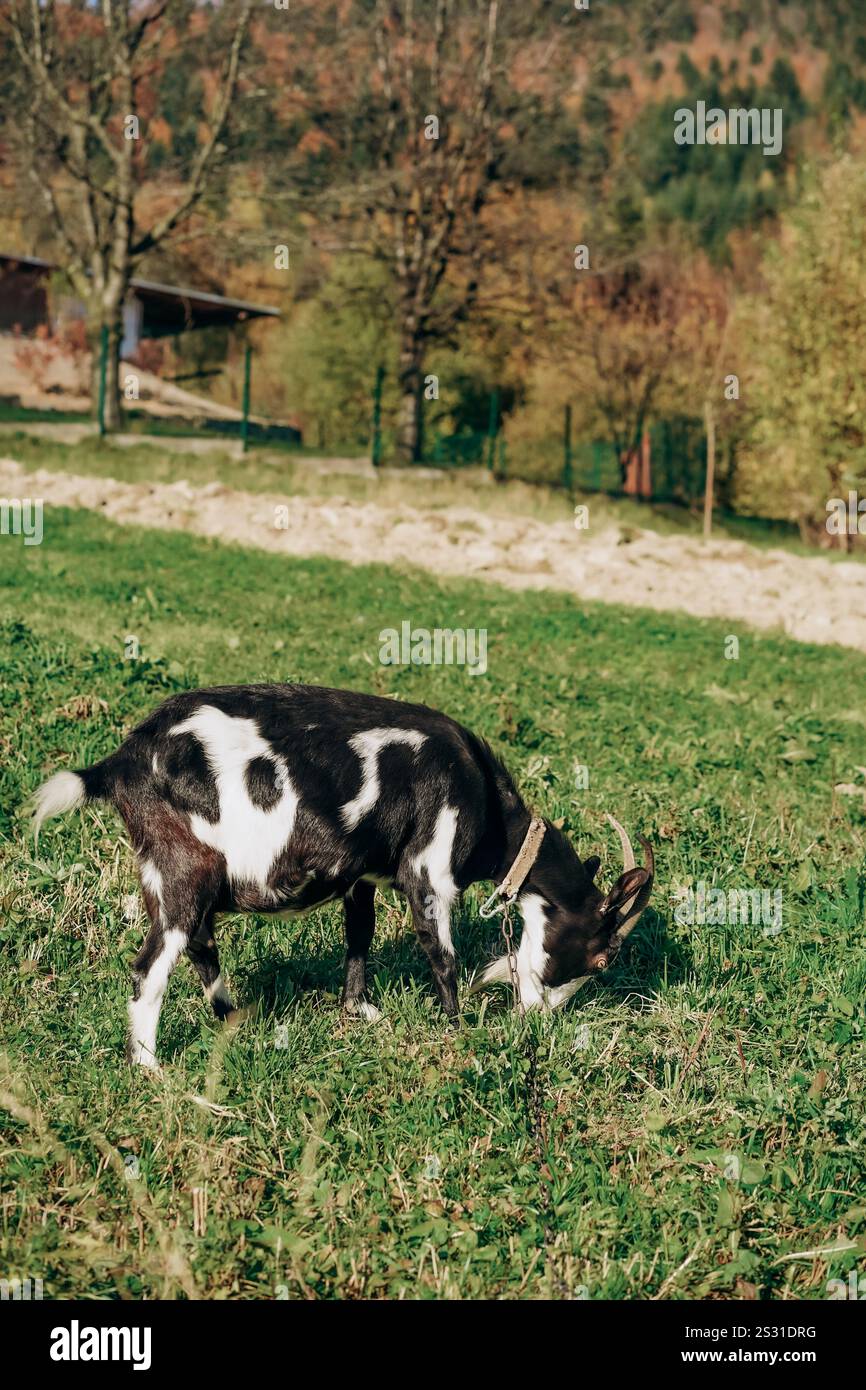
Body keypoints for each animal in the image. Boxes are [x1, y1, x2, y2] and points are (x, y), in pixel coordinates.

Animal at [31, 684, 654, 1067]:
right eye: (603, 958)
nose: (542, 1019)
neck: (482, 796)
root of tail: (122, 761)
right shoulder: (429, 867)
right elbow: (443, 954)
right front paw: (457, 1029)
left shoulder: (362, 876)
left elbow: (361, 936)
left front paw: (360, 1011)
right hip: (183, 868)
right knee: (151, 965)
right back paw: (150, 1067)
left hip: (176, 874)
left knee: (200, 945)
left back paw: (233, 1019)